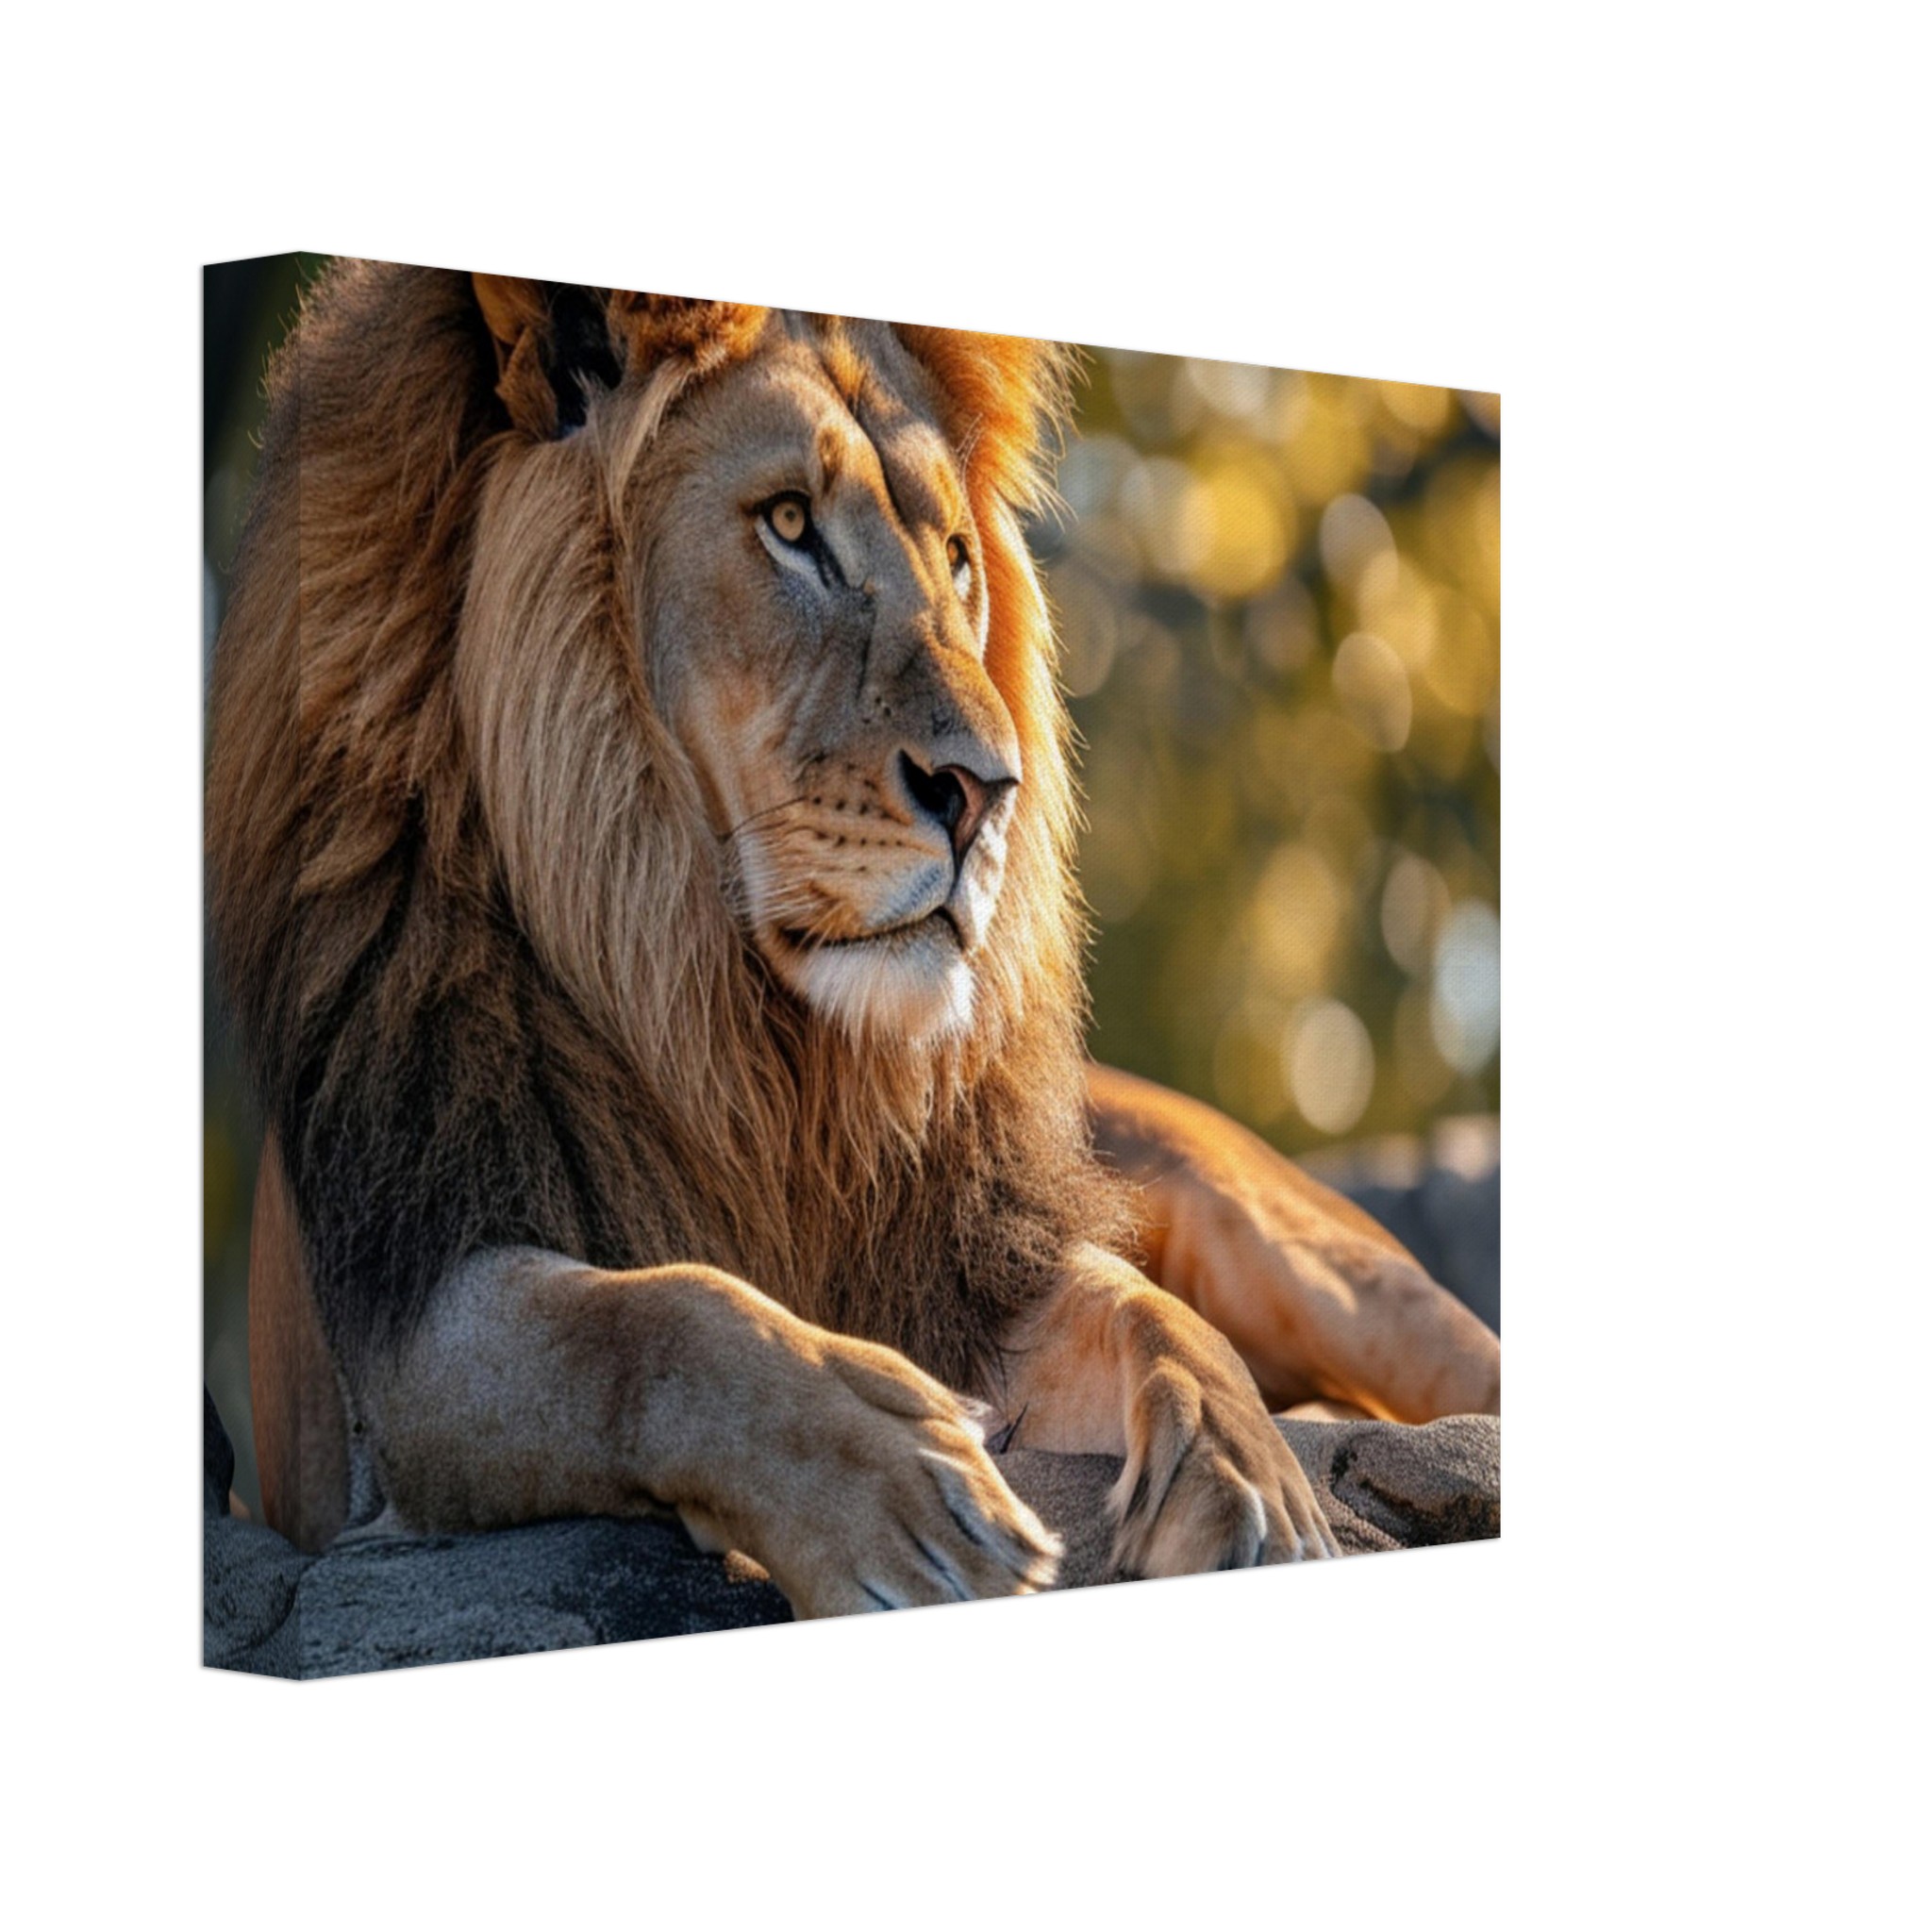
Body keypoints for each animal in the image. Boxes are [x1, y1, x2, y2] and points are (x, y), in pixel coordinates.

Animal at [208, 260, 1499, 1618]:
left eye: (957, 560)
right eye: (787, 524)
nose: (989, 792)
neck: (748, 1041)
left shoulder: (976, 1260)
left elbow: (1152, 1315)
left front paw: (1249, 1476)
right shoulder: (413, 1320)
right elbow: (664, 1321)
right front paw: (907, 1487)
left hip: (1308, 1263)